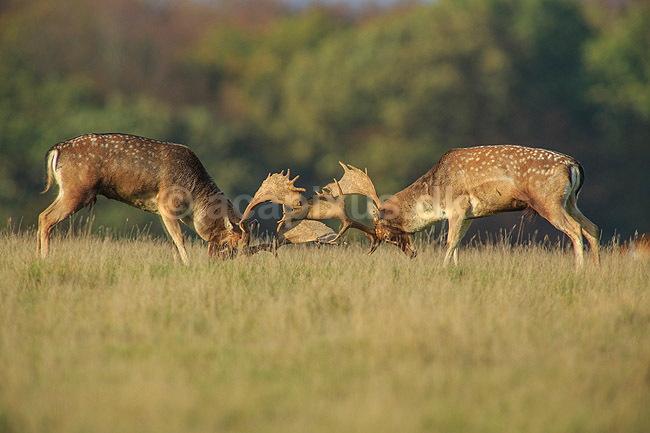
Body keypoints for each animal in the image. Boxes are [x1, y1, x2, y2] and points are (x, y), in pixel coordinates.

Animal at [37, 133, 272, 264]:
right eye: (230, 245)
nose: (219, 264)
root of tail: (56, 150)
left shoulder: (159, 210)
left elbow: (171, 241)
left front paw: (177, 265)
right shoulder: (166, 203)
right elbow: (180, 238)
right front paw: (188, 265)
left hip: (68, 191)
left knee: (42, 216)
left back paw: (38, 255)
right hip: (78, 190)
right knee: (47, 218)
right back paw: (46, 258)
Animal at [335, 145, 600, 268]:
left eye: (387, 236)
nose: (411, 254)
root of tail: (574, 165)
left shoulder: (457, 207)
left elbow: (450, 241)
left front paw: (442, 269)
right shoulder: (470, 214)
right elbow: (459, 244)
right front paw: (455, 269)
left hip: (548, 201)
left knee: (576, 230)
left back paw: (579, 271)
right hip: (570, 201)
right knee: (592, 228)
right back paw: (595, 271)